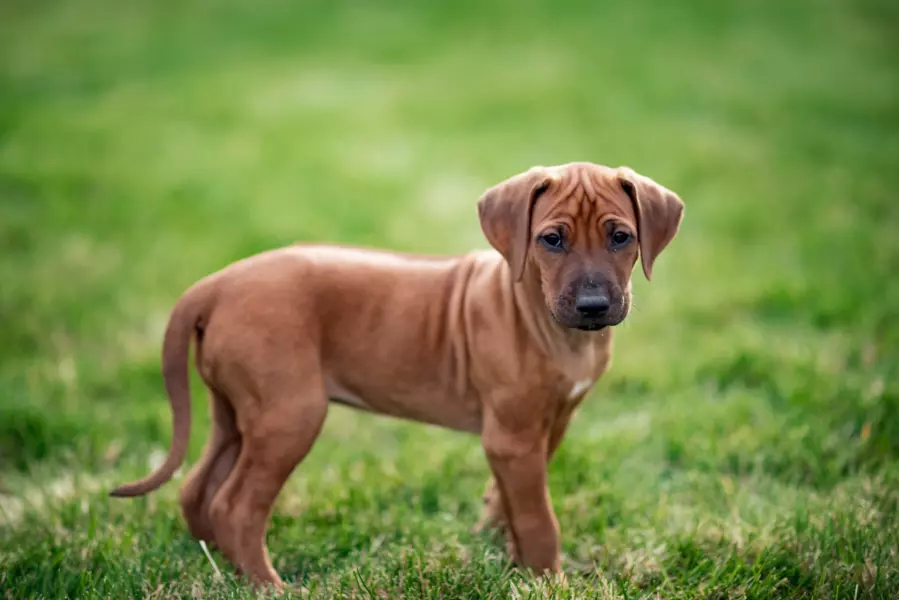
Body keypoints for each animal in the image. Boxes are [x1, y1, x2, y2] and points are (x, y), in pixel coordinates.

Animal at [110, 162, 684, 588]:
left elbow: (509, 501)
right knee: (235, 505)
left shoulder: (547, 426)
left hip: (234, 410)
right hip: (289, 415)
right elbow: (539, 518)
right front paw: (548, 579)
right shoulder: (513, 436)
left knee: (197, 489)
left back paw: (215, 565)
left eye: (621, 237)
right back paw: (267, 585)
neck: (545, 320)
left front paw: (508, 556)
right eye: (551, 240)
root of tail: (215, 283)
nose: (593, 306)